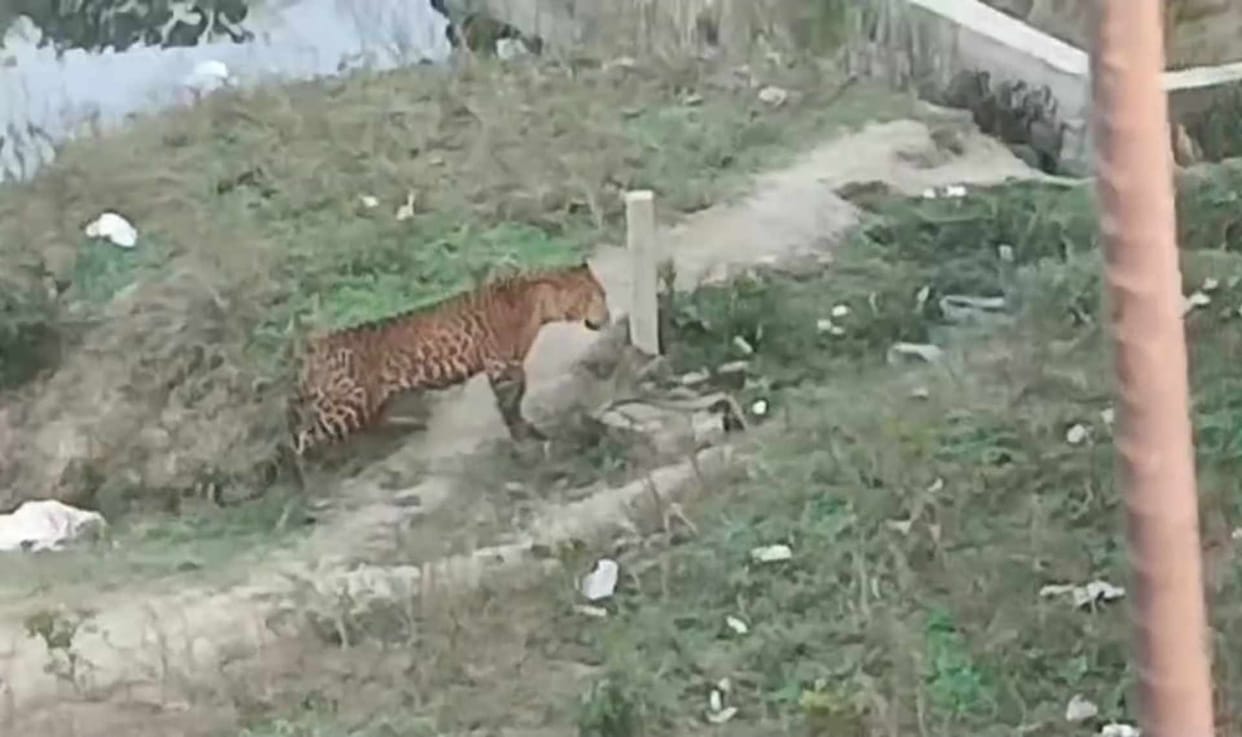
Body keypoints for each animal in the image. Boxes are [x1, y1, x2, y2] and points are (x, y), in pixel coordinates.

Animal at [288, 261, 610, 458]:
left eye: (603, 295)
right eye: (594, 297)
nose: (607, 317)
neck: (537, 303)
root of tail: (314, 345)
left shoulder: (512, 365)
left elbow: (517, 398)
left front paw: (528, 431)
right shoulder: (502, 366)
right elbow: (510, 404)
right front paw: (524, 438)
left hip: (365, 400)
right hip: (346, 405)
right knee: (300, 439)